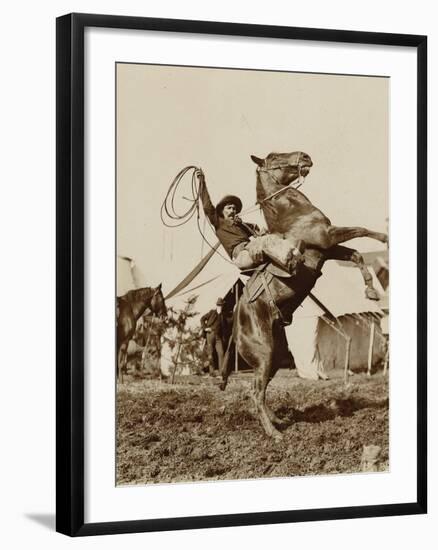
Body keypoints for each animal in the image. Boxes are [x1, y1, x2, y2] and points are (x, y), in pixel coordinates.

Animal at [221, 149, 388, 442]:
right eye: (273, 157)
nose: (305, 156)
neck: (292, 212)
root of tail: (236, 326)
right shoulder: (327, 237)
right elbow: (362, 229)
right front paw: (386, 238)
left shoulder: (328, 249)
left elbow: (356, 255)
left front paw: (370, 290)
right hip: (264, 354)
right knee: (256, 391)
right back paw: (274, 433)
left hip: (275, 356)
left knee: (261, 390)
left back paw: (276, 419)